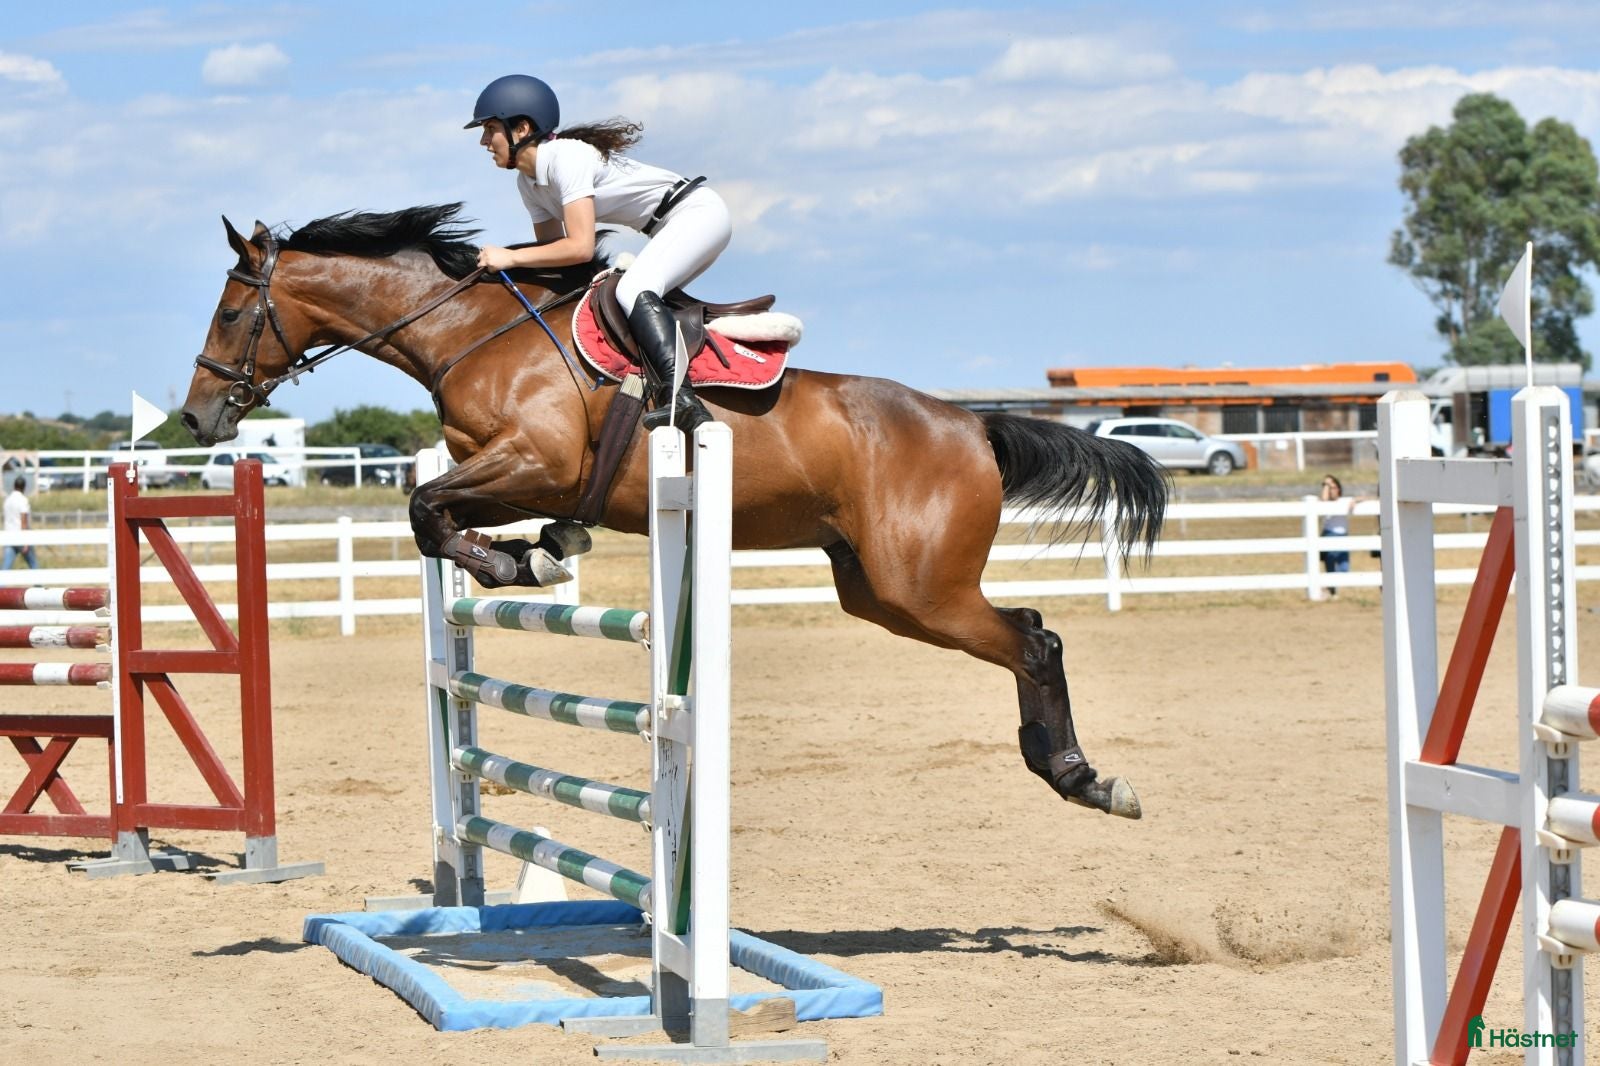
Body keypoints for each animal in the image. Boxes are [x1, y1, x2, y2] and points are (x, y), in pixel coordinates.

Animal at [180, 204, 1167, 819]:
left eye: (229, 312)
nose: (197, 419)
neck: (469, 334)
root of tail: (974, 423)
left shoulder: (540, 461)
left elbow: (426, 508)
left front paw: (511, 560)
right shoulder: (513, 474)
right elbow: (441, 511)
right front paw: (536, 552)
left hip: (920, 585)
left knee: (1035, 638)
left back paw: (1083, 778)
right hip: (878, 591)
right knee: (1028, 629)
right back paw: (1069, 771)